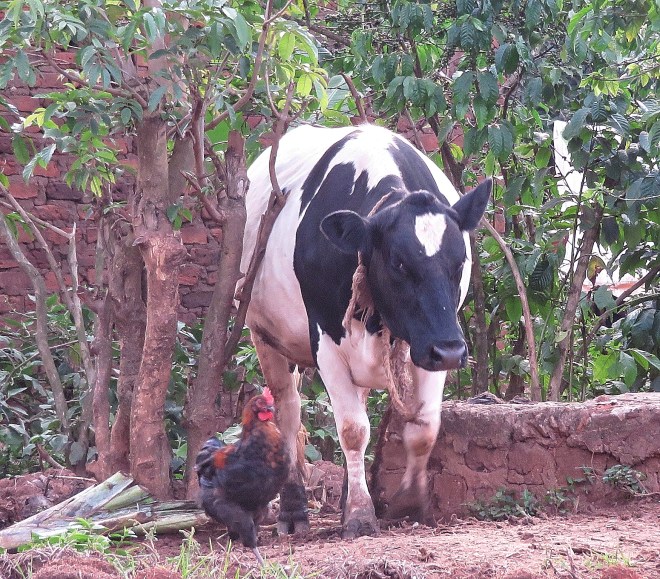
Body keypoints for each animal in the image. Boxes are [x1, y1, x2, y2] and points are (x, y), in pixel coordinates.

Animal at [240, 124, 490, 539]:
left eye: (460, 261)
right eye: (399, 263)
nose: (452, 351)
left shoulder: (427, 343)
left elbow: (424, 426)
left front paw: (409, 502)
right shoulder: (326, 342)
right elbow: (353, 430)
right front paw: (359, 515)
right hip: (265, 336)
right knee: (288, 413)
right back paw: (294, 511)